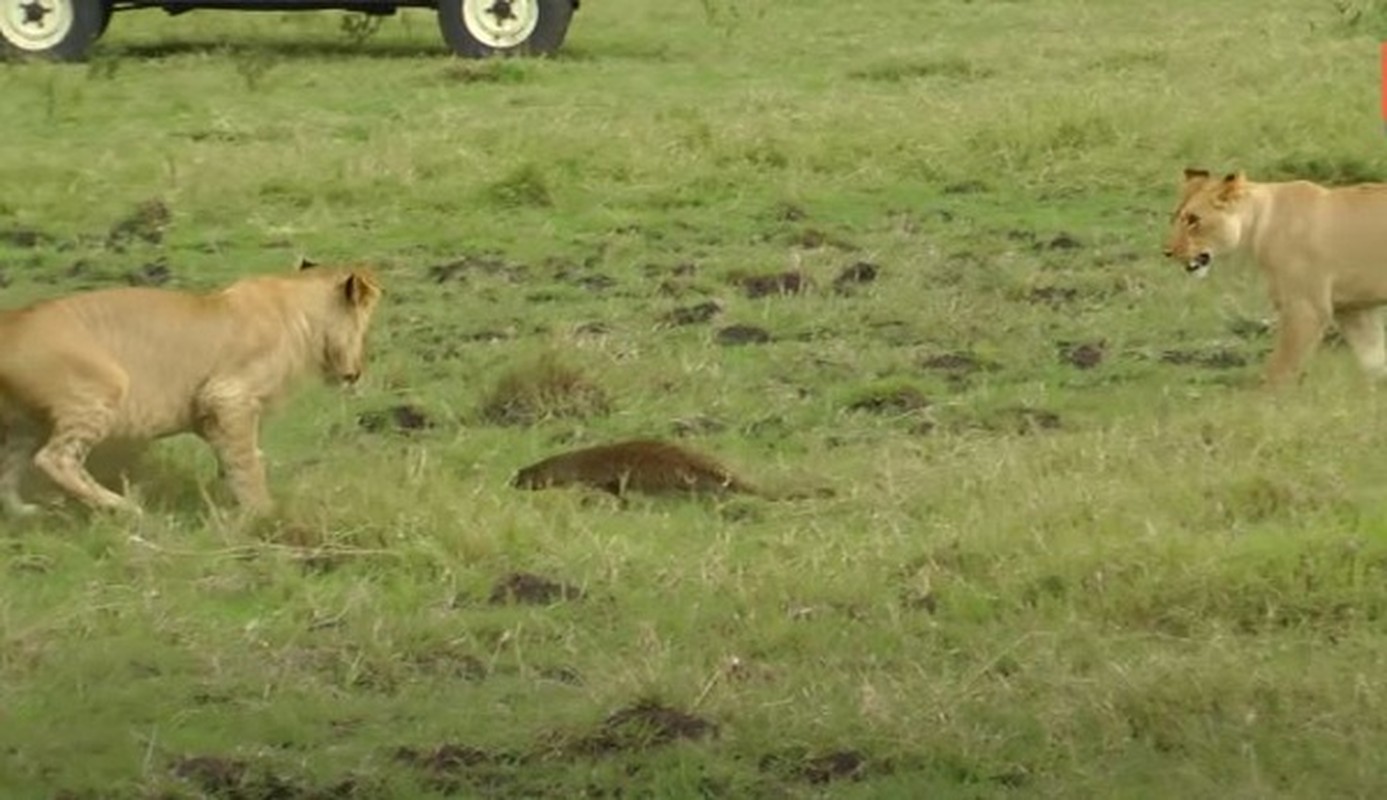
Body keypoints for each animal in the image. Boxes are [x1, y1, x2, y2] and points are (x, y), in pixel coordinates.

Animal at [0, 259, 382, 515]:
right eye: (364, 326)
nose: (358, 372)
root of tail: (11, 321)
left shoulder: (211, 414)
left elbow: (236, 460)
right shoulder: (228, 396)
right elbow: (247, 462)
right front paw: (263, 515)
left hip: (23, 424)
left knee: (8, 469)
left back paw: (24, 512)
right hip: (100, 391)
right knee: (55, 458)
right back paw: (125, 507)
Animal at [1159, 168, 1387, 388]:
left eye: (1193, 220)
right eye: (1176, 218)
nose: (1167, 252)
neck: (1258, 225)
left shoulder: (1305, 308)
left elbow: (1279, 370)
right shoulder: (1353, 309)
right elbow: (1374, 359)